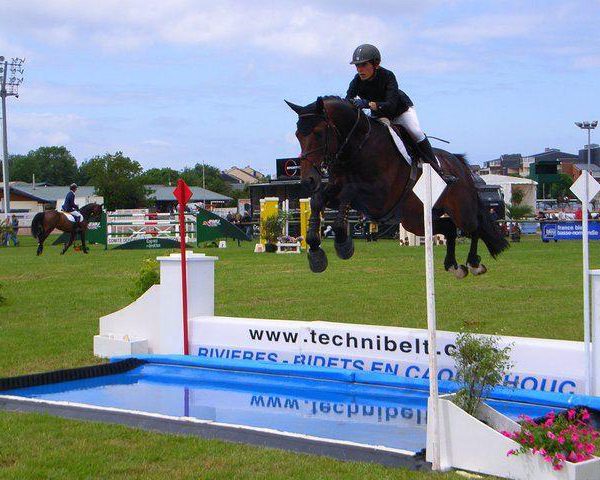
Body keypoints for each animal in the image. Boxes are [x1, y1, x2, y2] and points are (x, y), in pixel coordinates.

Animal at [286, 95, 506, 278]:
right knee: (450, 229)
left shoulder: (379, 198)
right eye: (297, 135)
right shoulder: (336, 188)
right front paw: (315, 251)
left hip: (460, 211)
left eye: (318, 133)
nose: (308, 180)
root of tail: (459, 163)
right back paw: (453, 265)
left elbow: (349, 193)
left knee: (473, 227)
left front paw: (343, 243)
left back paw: (473, 264)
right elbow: (318, 200)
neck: (357, 147)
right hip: (415, 219)